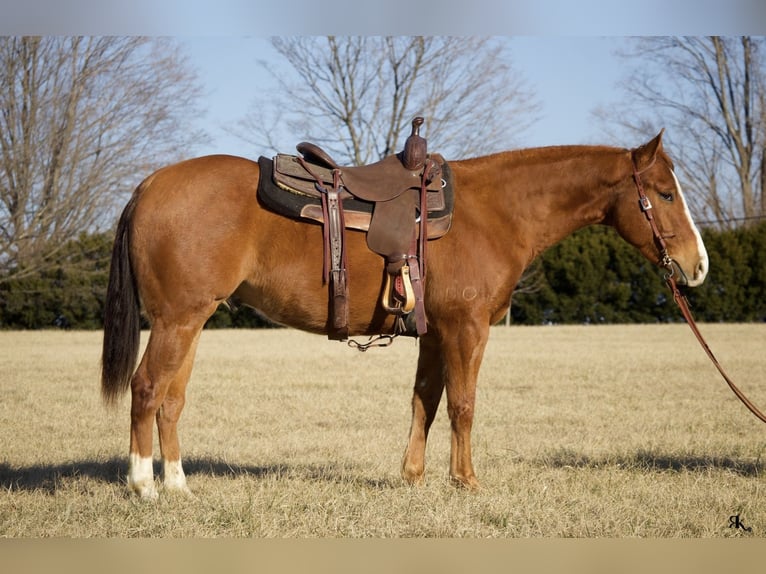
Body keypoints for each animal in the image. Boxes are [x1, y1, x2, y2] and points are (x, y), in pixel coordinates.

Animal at [103, 130, 712, 500]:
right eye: (664, 193)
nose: (698, 265)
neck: (493, 212)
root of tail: (149, 185)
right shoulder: (467, 329)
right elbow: (463, 404)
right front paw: (465, 480)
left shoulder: (435, 333)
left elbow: (426, 401)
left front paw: (414, 477)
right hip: (177, 322)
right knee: (146, 388)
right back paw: (142, 485)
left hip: (191, 322)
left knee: (171, 400)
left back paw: (177, 484)